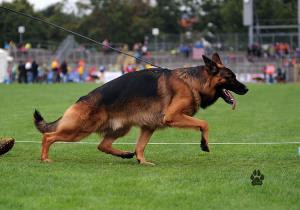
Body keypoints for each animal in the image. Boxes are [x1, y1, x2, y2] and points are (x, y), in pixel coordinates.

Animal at [34, 52, 247, 164]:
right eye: (231, 77)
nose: (247, 89)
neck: (193, 82)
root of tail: (82, 99)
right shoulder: (173, 116)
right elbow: (204, 123)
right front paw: (204, 143)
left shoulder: (148, 127)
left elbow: (140, 147)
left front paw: (142, 162)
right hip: (79, 129)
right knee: (48, 137)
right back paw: (44, 158)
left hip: (121, 128)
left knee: (102, 145)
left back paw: (124, 154)